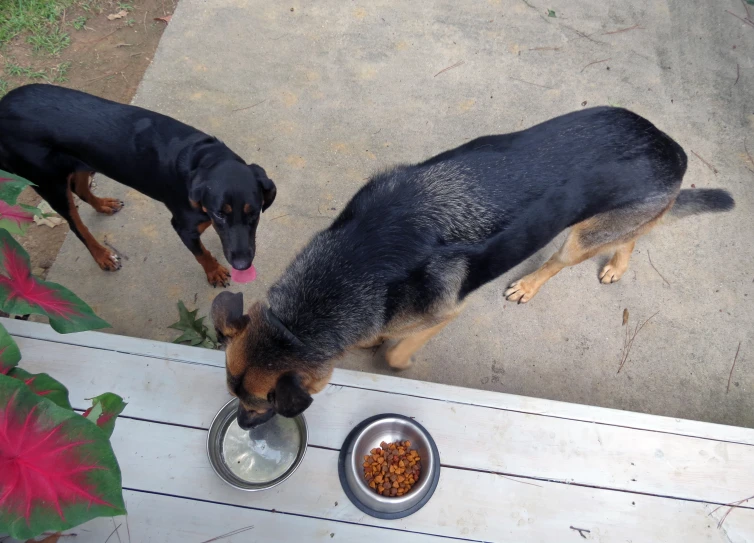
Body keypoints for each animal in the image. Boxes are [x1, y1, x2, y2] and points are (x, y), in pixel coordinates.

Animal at [0, 84, 274, 284]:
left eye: (254, 213)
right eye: (219, 214)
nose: (242, 266)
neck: (203, 159)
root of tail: (3, 105)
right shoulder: (183, 227)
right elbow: (201, 253)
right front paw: (214, 271)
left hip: (85, 161)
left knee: (80, 188)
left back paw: (104, 205)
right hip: (49, 184)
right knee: (77, 225)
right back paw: (103, 256)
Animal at [213, 107, 736, 430]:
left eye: (258, 404)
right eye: (233, 395)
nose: (241, 424)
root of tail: (673, 149)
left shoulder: (447, 313)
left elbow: (397, 355)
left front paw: (398, 356)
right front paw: (376, 338)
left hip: (578, 240)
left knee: (567, 258)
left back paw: (530, 284)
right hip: (606, 217)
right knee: (637, 232)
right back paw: (619, 264)